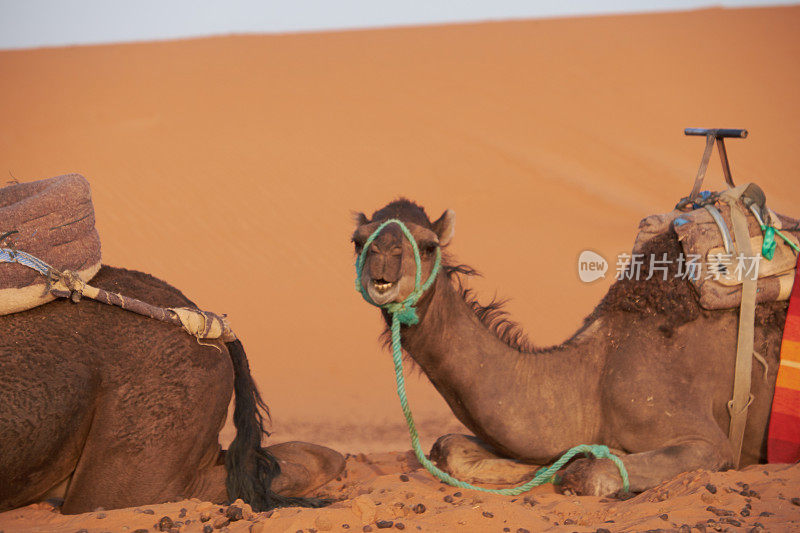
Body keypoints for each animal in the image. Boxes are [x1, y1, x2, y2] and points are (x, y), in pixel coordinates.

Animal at [354, 198, 792, 494]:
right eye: (358, 241)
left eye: (428, 246)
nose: (383, 258)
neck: (595, 374)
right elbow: (449, 448)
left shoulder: (707, 441)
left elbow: (586, 472)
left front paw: (580, 462)